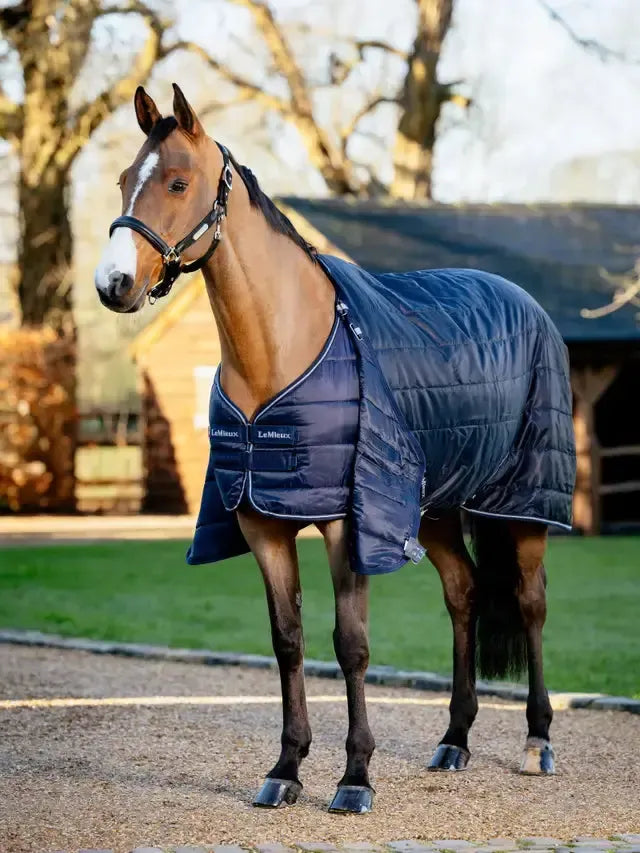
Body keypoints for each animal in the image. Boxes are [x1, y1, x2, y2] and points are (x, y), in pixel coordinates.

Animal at [95, 84, 576, 815]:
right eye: (125, 179)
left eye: (177, 181)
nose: (112, 284)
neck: (280, 349)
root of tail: (527, 304)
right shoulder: (262, 523)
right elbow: (287, 641)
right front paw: (286, 768)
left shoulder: (348, 524)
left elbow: (350, 645)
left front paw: (355, 778)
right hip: (433, 510)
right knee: (463, 594)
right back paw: (454, 740)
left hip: (522, 506)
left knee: (531, 603)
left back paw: (538, 741)